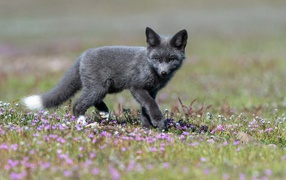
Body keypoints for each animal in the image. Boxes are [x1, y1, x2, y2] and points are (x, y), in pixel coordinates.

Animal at [22, 27, 188, 129]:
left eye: (171, 59)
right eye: (157, 59)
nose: (164, 72)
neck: (148, 65)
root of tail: (83, 55)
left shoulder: (151, 91)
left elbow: (145, 109)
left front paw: (147, 127)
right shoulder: (137, 87)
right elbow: (151, 105)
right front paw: (158, 122)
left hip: (103, 87)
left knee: (93, 101)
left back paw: (104, 113)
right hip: (99, 87)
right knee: (78, 104)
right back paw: (82, 122)